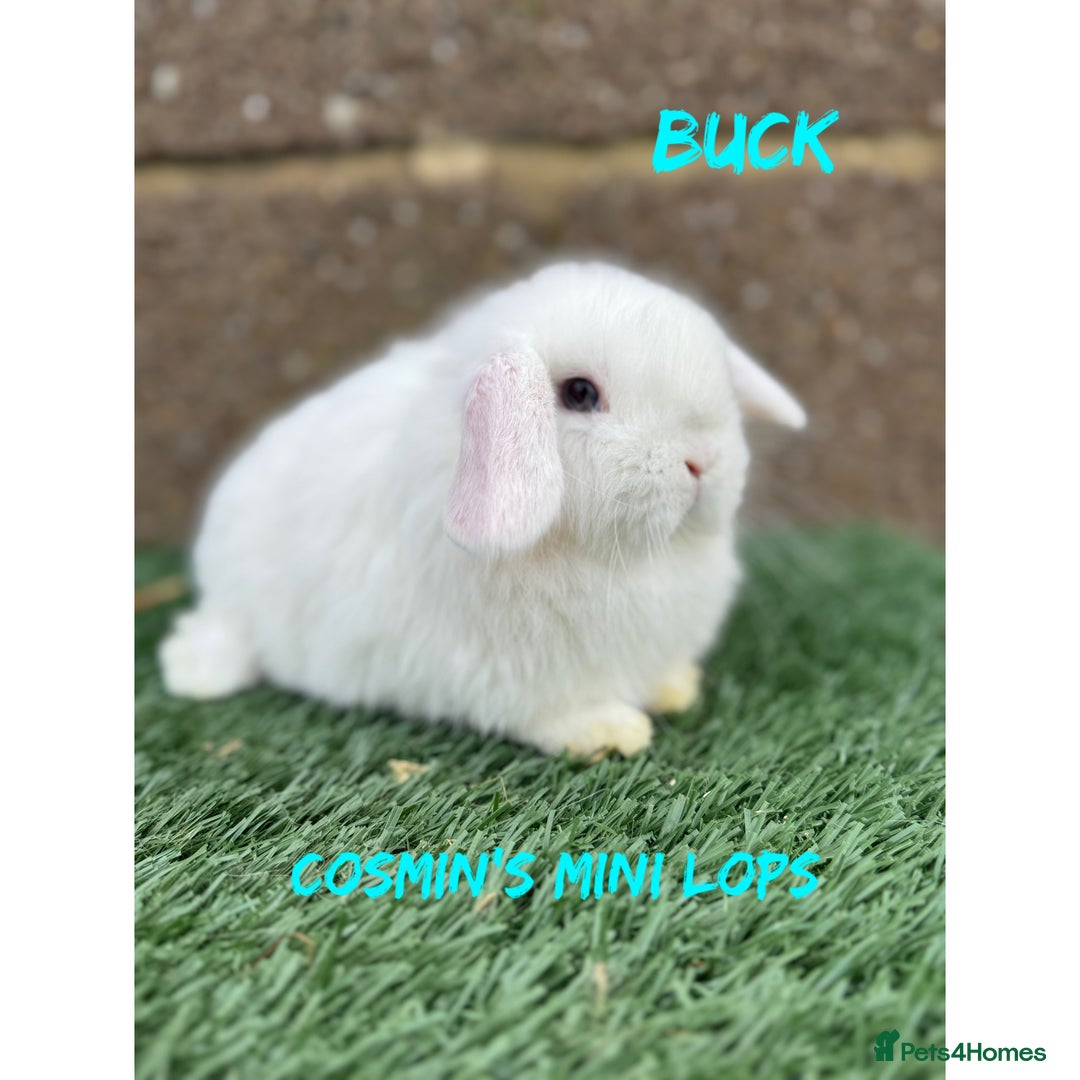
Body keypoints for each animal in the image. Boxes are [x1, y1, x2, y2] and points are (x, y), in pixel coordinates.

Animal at [159, 261, 805, 757]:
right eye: (579, 393)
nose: (703, 462)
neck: (633, 560)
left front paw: (677, 688)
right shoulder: (512, 675)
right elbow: (553, 711)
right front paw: (611, 733)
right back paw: (192, 673)